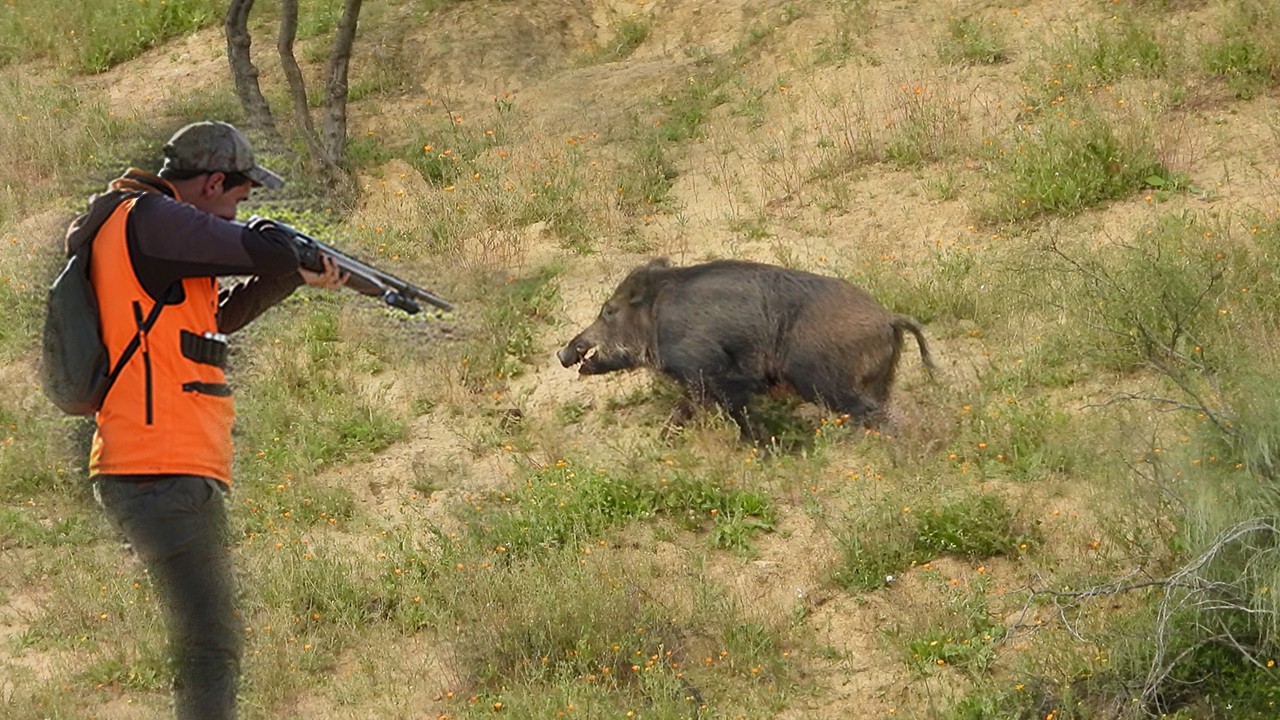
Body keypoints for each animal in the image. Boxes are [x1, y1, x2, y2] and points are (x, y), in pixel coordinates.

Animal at [556, 257, 934, 439]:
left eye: (609, 311)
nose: (563, 354)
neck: (658, 318)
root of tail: (889, 318)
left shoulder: (715, 374)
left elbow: (739, 416)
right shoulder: (696, 383)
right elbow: (681, 412)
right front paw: (661, 443)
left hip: (831, 382)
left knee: (876, 415)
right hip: (879, 379)